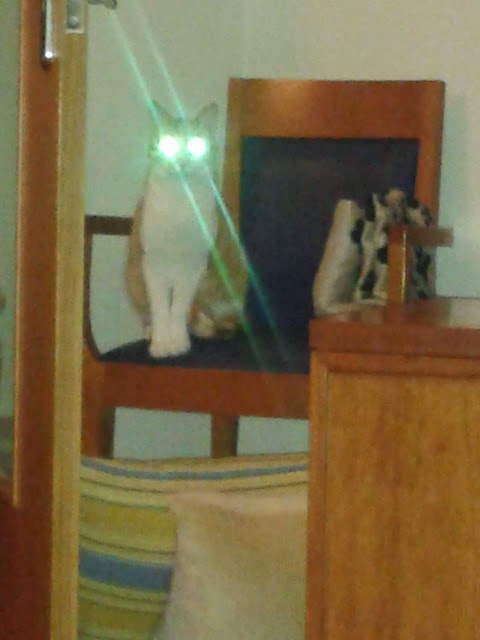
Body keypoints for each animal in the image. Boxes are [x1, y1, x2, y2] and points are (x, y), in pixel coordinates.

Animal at [126, 101, 221, 358]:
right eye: (169, 143)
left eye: (197, 145)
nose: (182, 161)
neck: (179, 203)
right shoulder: (152, 263)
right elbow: (160, 307)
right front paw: (161, 343)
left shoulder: (194, 264)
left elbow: (178, 307)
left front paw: (178, 341)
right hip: (133, 276)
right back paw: (150, 331)